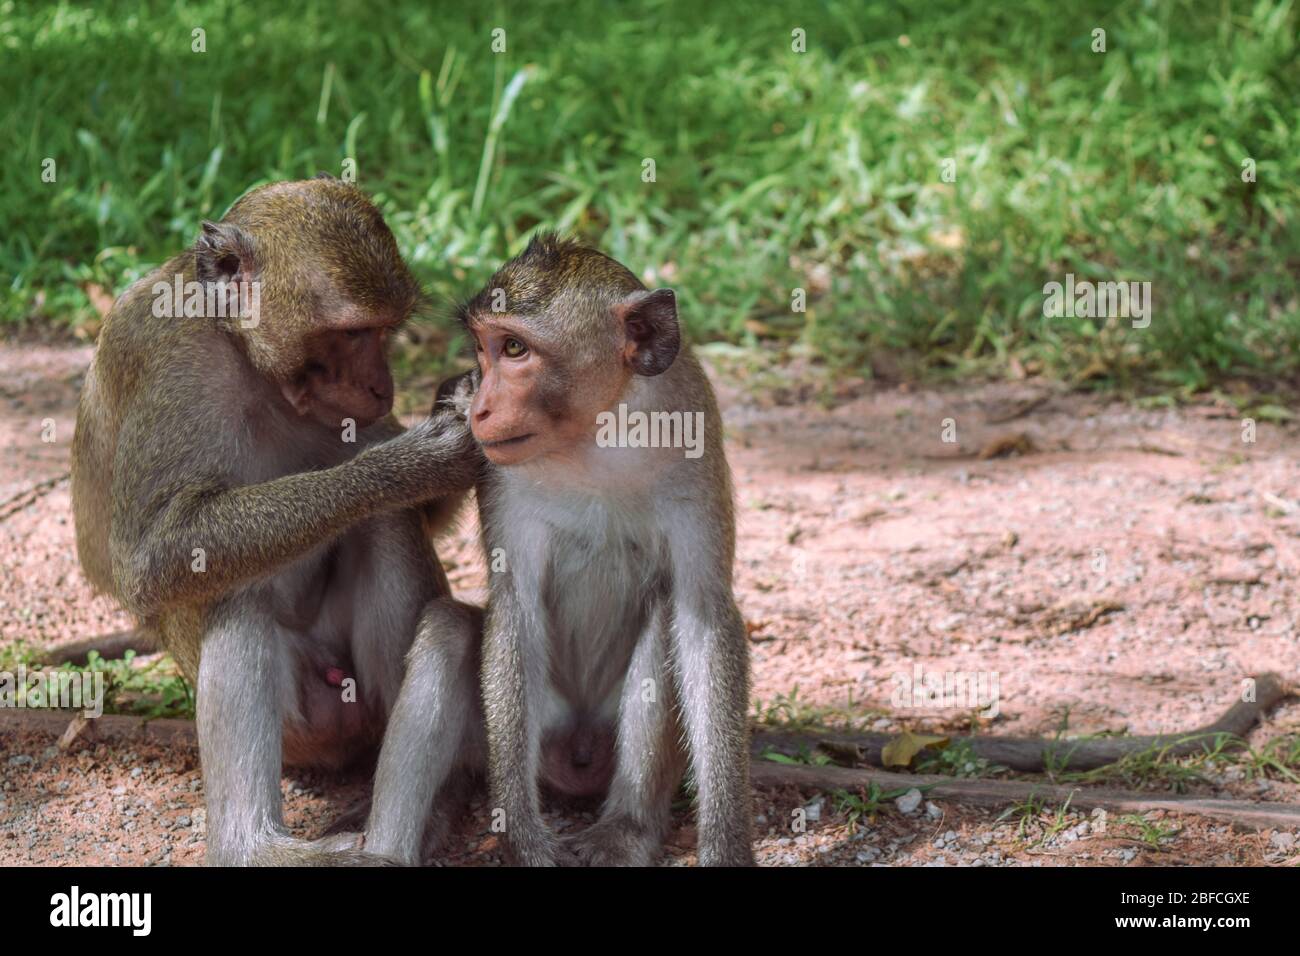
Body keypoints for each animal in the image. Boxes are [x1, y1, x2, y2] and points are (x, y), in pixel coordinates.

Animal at [68, 178, 483, 868]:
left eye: (387, 332)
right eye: (353, 332)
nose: (382, 386)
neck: (244, 353)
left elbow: (416, 511)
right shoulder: (168, 358)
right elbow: (149, 560)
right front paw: (404, 464)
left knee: (387, 529)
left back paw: (433, 799)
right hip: (301, 731)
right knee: (232, 589)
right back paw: (254, 846)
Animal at [364, 234, 754, 868]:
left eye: (514, 348)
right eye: (483, 349)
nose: (480, 407)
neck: (597, 435)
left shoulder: (697, 439)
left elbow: (702, 616)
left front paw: (725, 842)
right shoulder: (499, 472)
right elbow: (516, 605)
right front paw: (522, 838)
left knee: (665, 616)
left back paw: (626, 826)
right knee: (449, 631)